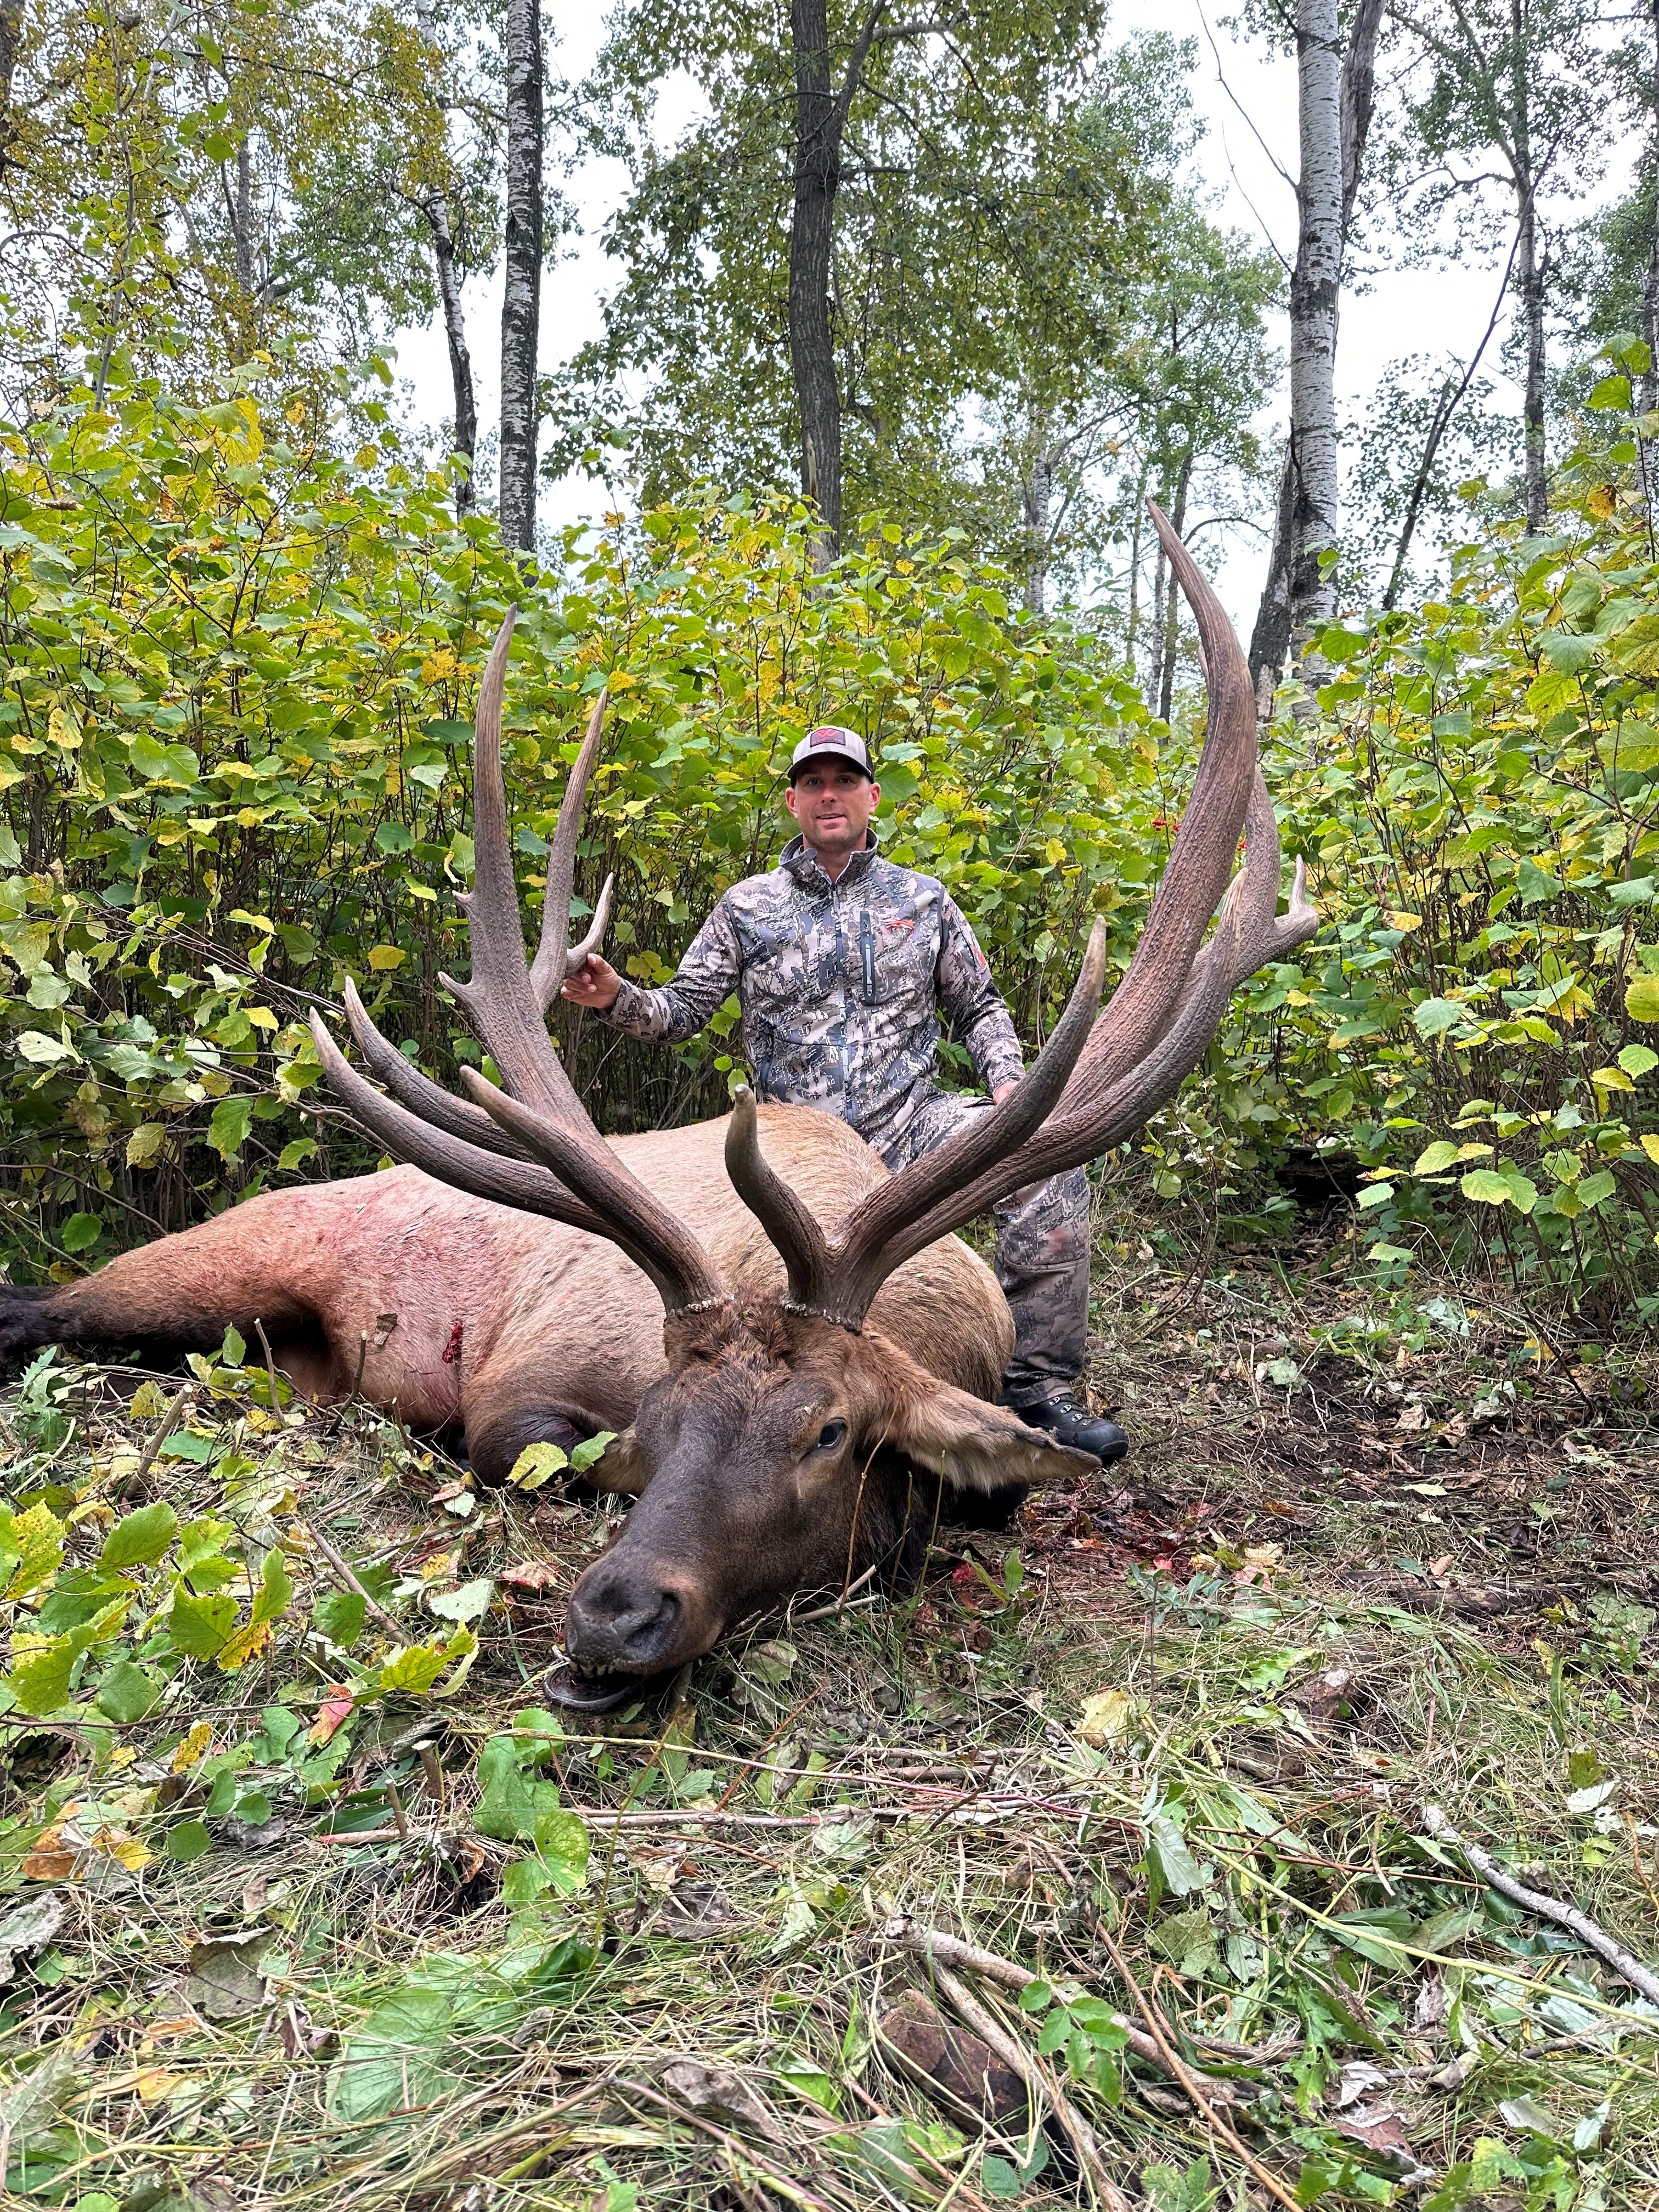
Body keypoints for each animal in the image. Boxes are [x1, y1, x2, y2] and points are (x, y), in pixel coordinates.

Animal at [0, 512, 1316, 1708]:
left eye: (828, 1430)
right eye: (661, 1408)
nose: (615, 1615)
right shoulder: (522, 1384)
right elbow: (537, 1452)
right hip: (216, 1259)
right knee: (45, 1304)